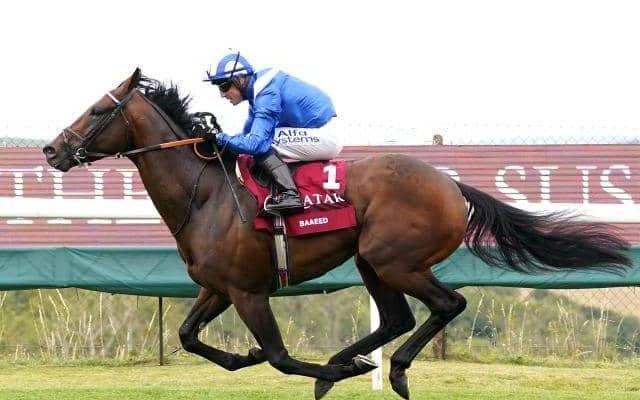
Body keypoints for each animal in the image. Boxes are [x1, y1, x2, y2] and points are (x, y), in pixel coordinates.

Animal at [43, 68, 632, 400]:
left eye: (97, 110)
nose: (51, 149)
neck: (206, 195)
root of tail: (452, 184)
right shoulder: (218, 286)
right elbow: (189, 336)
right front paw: (249, 359)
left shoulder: (249, 291)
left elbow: (279, 357)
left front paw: (315, 368)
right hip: (372, 261)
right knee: (397, 317)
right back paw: (349, 362)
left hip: (395, 259)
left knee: (448, 304)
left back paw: (386, 370)